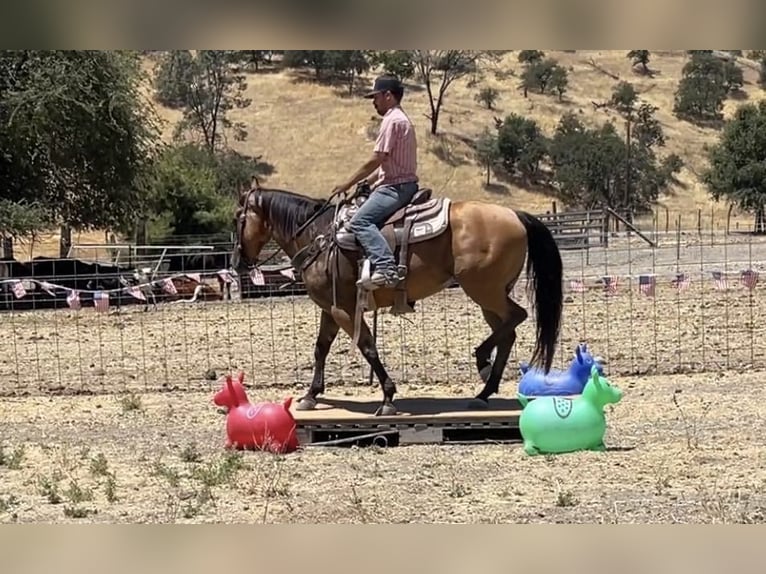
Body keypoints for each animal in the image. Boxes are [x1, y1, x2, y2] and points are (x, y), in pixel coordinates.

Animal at [232, 178, 564, 416]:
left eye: (238, 217)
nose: (237, 263)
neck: (320, 235)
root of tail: (514, 215)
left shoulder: (346, 310)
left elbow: (367, 347)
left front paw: (388, 398)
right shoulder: (331, 309)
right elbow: (320, 349)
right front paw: (310, 395)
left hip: (484, 289)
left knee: (517, 317)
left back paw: (481, 360)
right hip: (489, 295)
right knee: (507, 331)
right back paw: (484, 391)